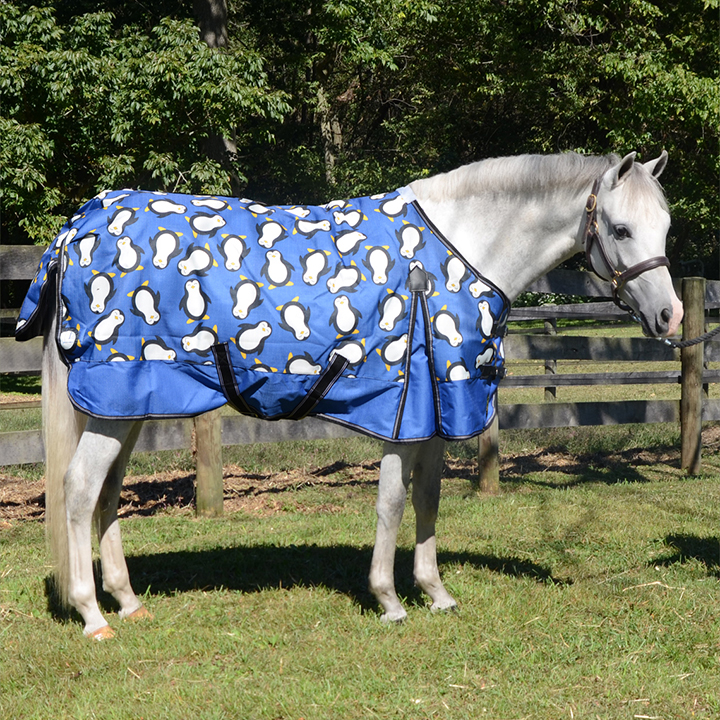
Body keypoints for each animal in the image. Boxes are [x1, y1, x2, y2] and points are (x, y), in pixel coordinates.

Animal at [17, 150, 682, 638]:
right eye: (621, 228)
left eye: (666, 227)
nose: (670, 317)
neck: (455, 253)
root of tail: (77, 227)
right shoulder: (402, 410)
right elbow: (391, 503)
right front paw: (389, 600)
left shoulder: (435, 411)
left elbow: (428, 500)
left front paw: (435, 592)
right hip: (114, 404)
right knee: (79, 491)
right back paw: (93, 616)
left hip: (127, 407)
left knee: (106, 495)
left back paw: (129, 602)